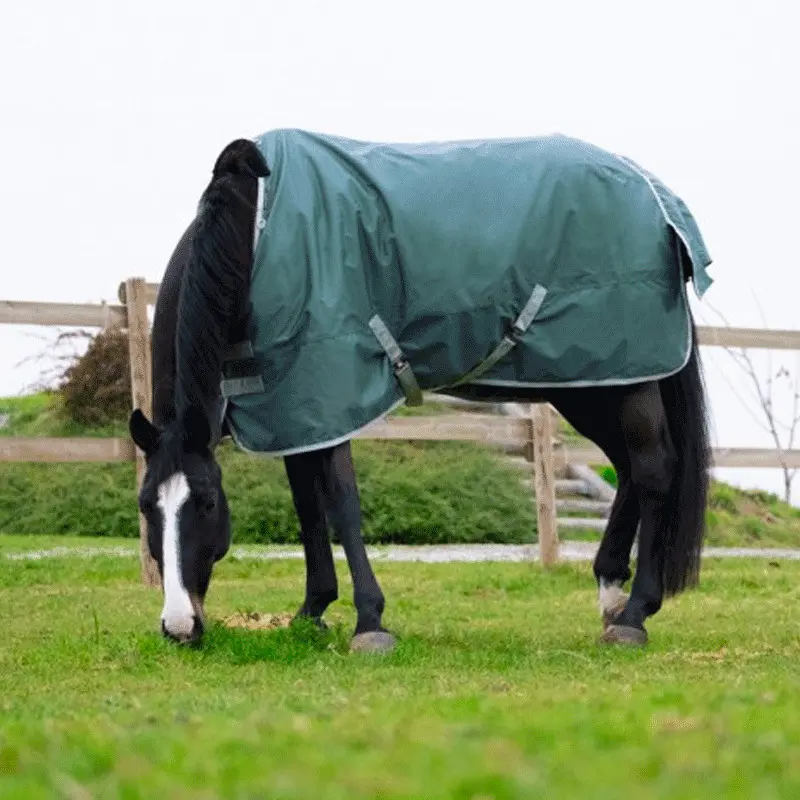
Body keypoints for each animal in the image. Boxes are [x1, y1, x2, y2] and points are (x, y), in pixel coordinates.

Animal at [129, 129, 712, 652]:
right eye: (145, 506)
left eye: (206, 503)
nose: (179, 627)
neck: (254, 235)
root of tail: (656, 199)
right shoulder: (294, 408)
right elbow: (308, 508)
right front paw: (312, 612)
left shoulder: (331, 391)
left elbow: (342, 503)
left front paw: (370, 623)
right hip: (591, 381)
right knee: (631, 467)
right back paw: (611, 593)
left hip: (623, 377)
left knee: (653, 467)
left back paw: (633, 617)